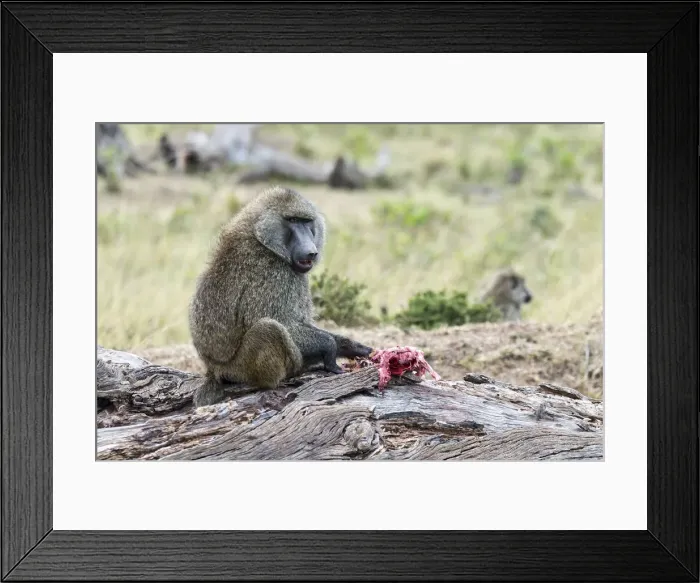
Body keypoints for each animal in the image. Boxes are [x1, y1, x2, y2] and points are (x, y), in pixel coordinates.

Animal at [188, 185, 374, 407]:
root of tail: (213, 369)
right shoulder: (274, 273)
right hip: (240, 369)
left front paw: (351, 347)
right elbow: (283, 322)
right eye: (292, 221)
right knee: (270, 329)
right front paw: (330, 351)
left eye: (306, 221)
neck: (261, 238)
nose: (311, 252)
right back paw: (283, 377)